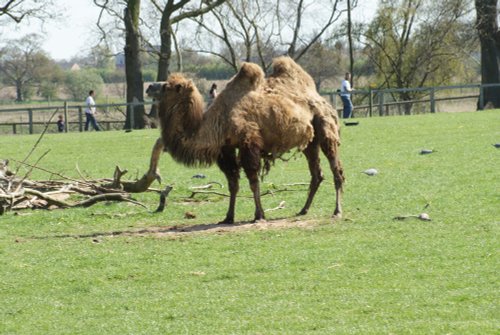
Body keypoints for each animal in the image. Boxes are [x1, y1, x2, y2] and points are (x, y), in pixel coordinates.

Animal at [148, 56, 344, 224]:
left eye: (168, 86)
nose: (149, 87)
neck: (217, 122)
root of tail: (322, 99)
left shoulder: (248, 142)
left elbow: (253, 181)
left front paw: (259, 215)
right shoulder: (226, 149)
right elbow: (233, 183)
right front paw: (228, 217)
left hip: (326, 128)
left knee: (336, 170)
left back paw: (337, 211)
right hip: (310, 142)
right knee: (317, 174)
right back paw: (303, 209)